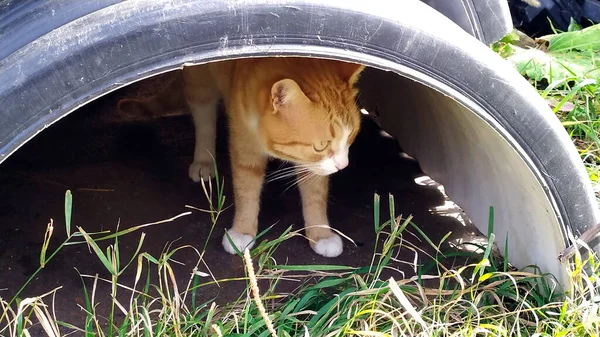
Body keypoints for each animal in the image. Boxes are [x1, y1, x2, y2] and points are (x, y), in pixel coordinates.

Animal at [118, 57, 360, 256]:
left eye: (351, 135)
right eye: (321, 145)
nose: (343, 165)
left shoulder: (312, 164)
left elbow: (315, 195)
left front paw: (321, 234)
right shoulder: (244, 143)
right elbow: (247, 188)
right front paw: (242, 231)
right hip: (200, 81)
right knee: (204, 119)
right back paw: (204, 159)